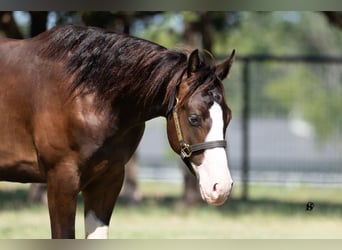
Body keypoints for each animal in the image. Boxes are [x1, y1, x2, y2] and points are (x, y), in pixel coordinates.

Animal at [0, 24, 235, 238]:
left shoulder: (107, 181)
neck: (85, 95)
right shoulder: (61, 180)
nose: (220, 187)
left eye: (229, 118)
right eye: (194, 118)